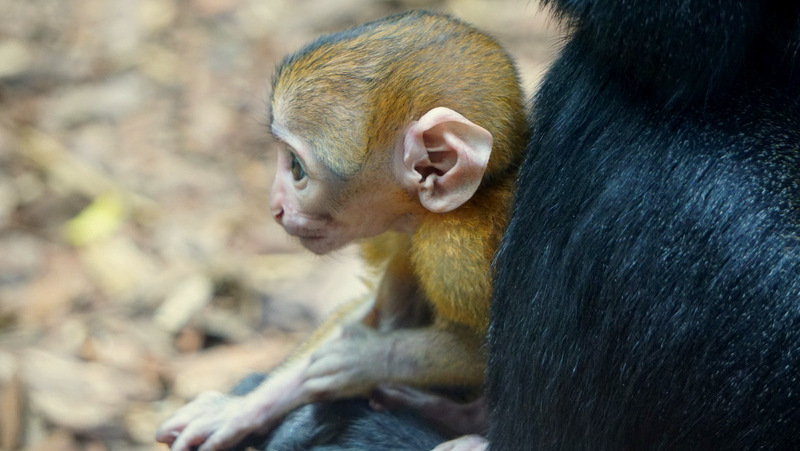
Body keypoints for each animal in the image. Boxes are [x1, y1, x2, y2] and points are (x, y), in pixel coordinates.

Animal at [159, 10, 528, 451]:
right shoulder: (407, 234)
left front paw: (368, 359)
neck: (462, 204)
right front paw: (244, 407)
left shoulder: (455, 254)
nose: (275, 207)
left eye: (296, 168)